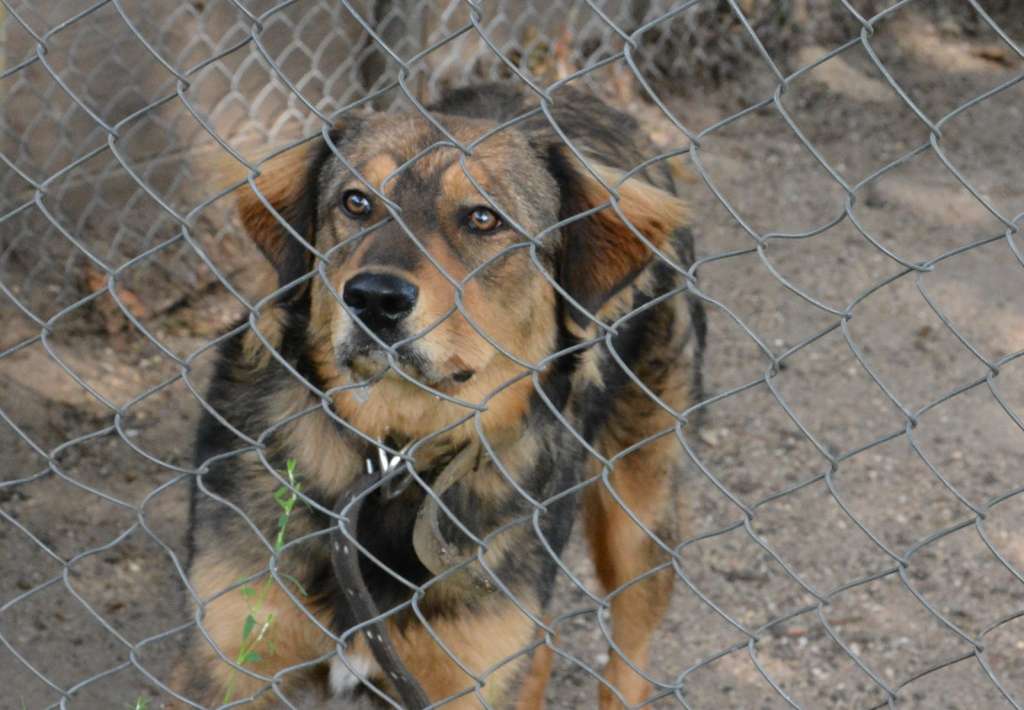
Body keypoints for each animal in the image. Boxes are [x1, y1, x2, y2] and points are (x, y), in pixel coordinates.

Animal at [172, 80, 708, 704]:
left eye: (483, 218)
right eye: (356, 203)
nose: (375, 298)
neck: (394, 453)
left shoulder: (470, 676)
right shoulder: (226, 664)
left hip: (640, 517)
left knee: (626, 659)